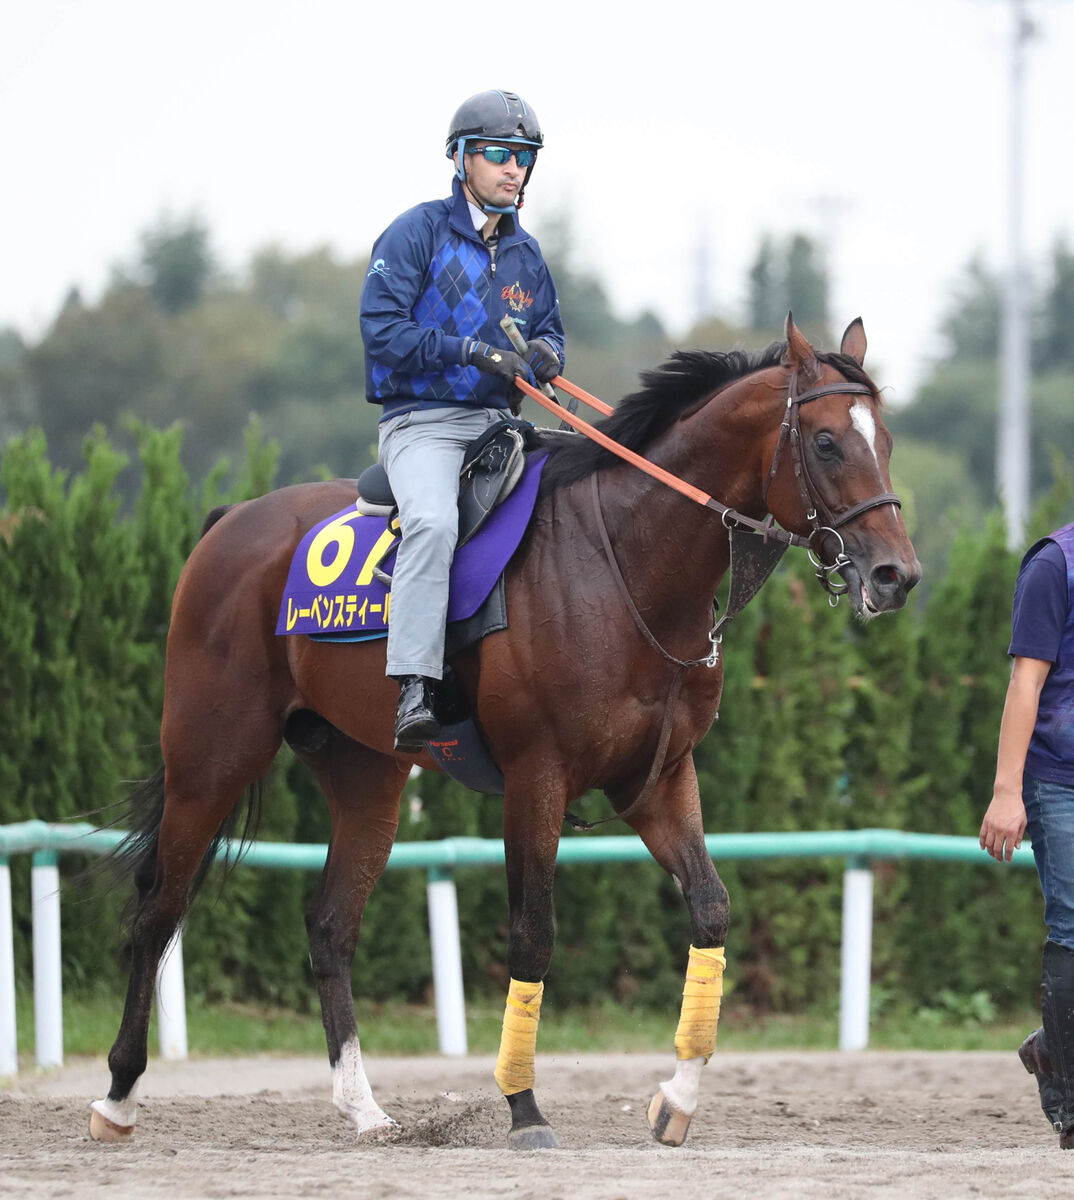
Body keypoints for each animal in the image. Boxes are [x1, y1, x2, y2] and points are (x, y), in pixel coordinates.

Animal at [88, 319, 921, 1152]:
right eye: (825, 442)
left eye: (885, 439)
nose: (896, 576)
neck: (624, 561)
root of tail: (231, 520)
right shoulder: (535, 776)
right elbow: (532, 936)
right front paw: (524, 1108)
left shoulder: (657, 777)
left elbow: (711, 906)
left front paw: (677, 1099)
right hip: (211, 754)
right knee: (159, 908)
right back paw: (118, 1095)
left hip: (365, 776)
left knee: (330, 926)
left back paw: (364, 1108)